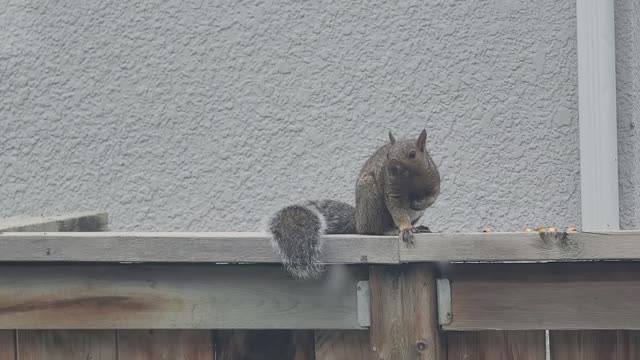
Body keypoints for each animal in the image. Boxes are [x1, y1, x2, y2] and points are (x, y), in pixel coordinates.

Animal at [266, 129, 440, 278]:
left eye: (412, 154)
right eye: (388, 154)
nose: (390, 169)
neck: (411, 179)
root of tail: (358, 219)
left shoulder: (433, 181)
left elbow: (432, 196)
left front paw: (418, 204)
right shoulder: (392, 190)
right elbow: (397, 209)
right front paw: (405, 229)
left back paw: (418, 227)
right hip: (369, 196)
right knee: (369, 229)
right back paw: (389, 230)